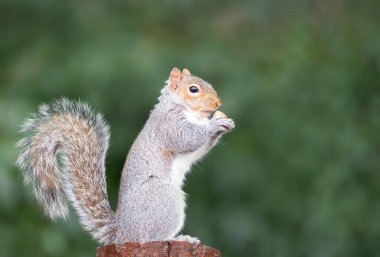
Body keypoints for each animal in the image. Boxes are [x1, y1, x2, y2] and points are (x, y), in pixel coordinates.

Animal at [17, 67, 235, 244]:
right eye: (193, 89)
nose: (218, 102)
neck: (189, 112)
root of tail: (123, 232)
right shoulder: (169, 125)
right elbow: (187, 139)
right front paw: (215, 124)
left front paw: (223, 122)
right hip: (163, 198)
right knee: (149, 238)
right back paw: (180, 239)